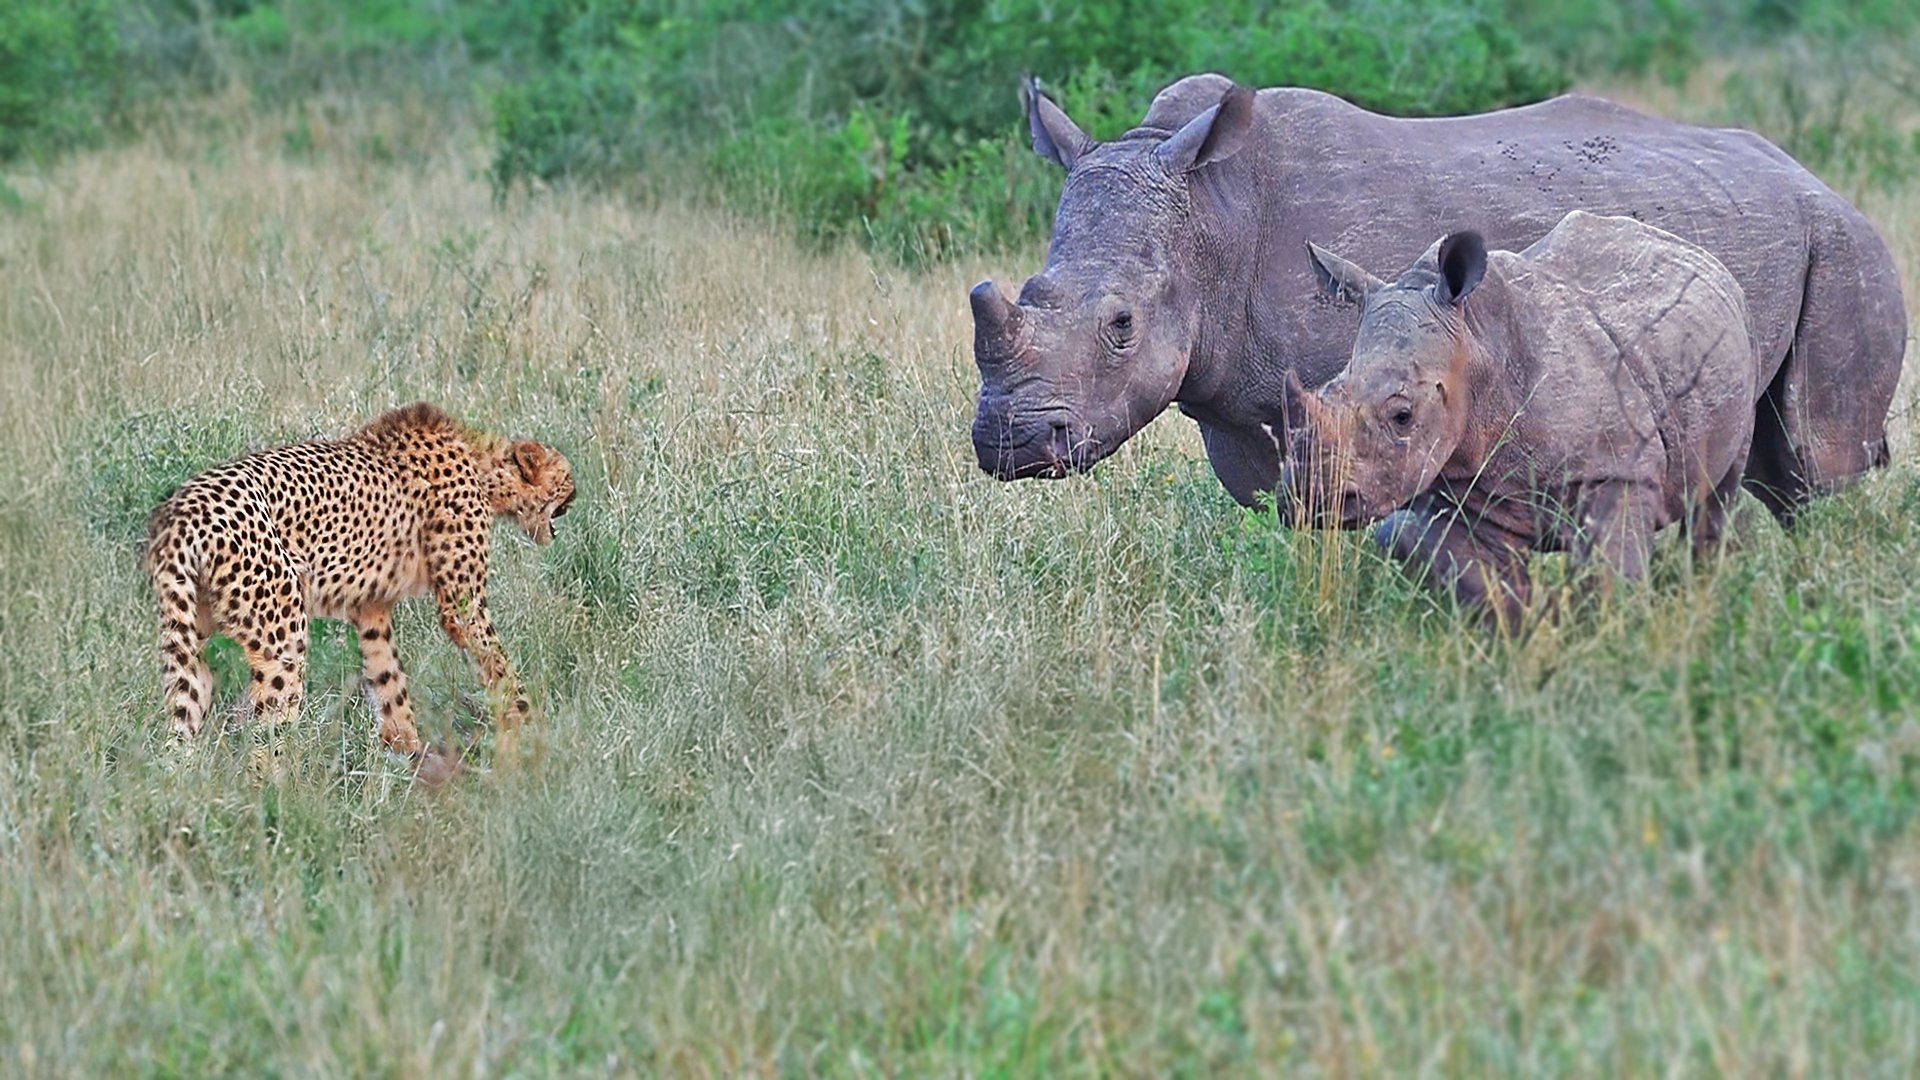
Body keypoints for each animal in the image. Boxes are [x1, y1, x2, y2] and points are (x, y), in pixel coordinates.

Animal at [143, 402, 575, 764]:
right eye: (566, 476)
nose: (578, 493)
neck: (484, 468)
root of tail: (184, 507)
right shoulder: (461, 604)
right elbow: (497, 661)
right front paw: (526, 722)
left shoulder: (372, 610)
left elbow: (388, 681)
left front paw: (407, 755)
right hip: (283, 636)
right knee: (266, 728)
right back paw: (277, 799)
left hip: (186, 640)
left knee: (185, 717)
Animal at [968, 74, 1906, 525]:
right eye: (1029, 291)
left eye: (1121, 325)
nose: (1010, 444)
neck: (1214, 217)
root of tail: (1810, 176)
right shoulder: (1246, 410)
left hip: (1845, 242)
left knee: (1815, 455)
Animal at [1281, 212, 1758, 623]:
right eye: (1324, 391)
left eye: (1402, 416)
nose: (1305, 497)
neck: (1476, 348)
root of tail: (1688, 247)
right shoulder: (1460, 487)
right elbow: (1480, 582)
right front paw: (1524, 634)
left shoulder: (1620, 470)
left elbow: (1611, 577)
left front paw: (1612, 641)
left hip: (1742, 334)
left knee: (1720, 491)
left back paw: (1706, 587)